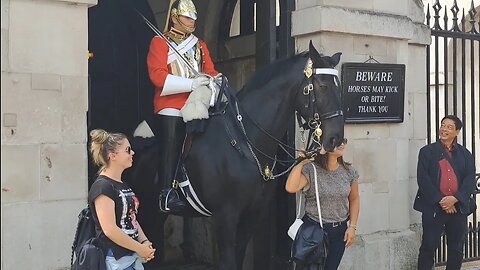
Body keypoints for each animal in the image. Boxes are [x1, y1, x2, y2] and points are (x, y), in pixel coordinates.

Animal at [129, 41, 344, 268]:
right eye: (322, 86)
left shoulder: (252, 215)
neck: (245, 141)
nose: (335, 138)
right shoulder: (226, 216)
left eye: (338, 87)